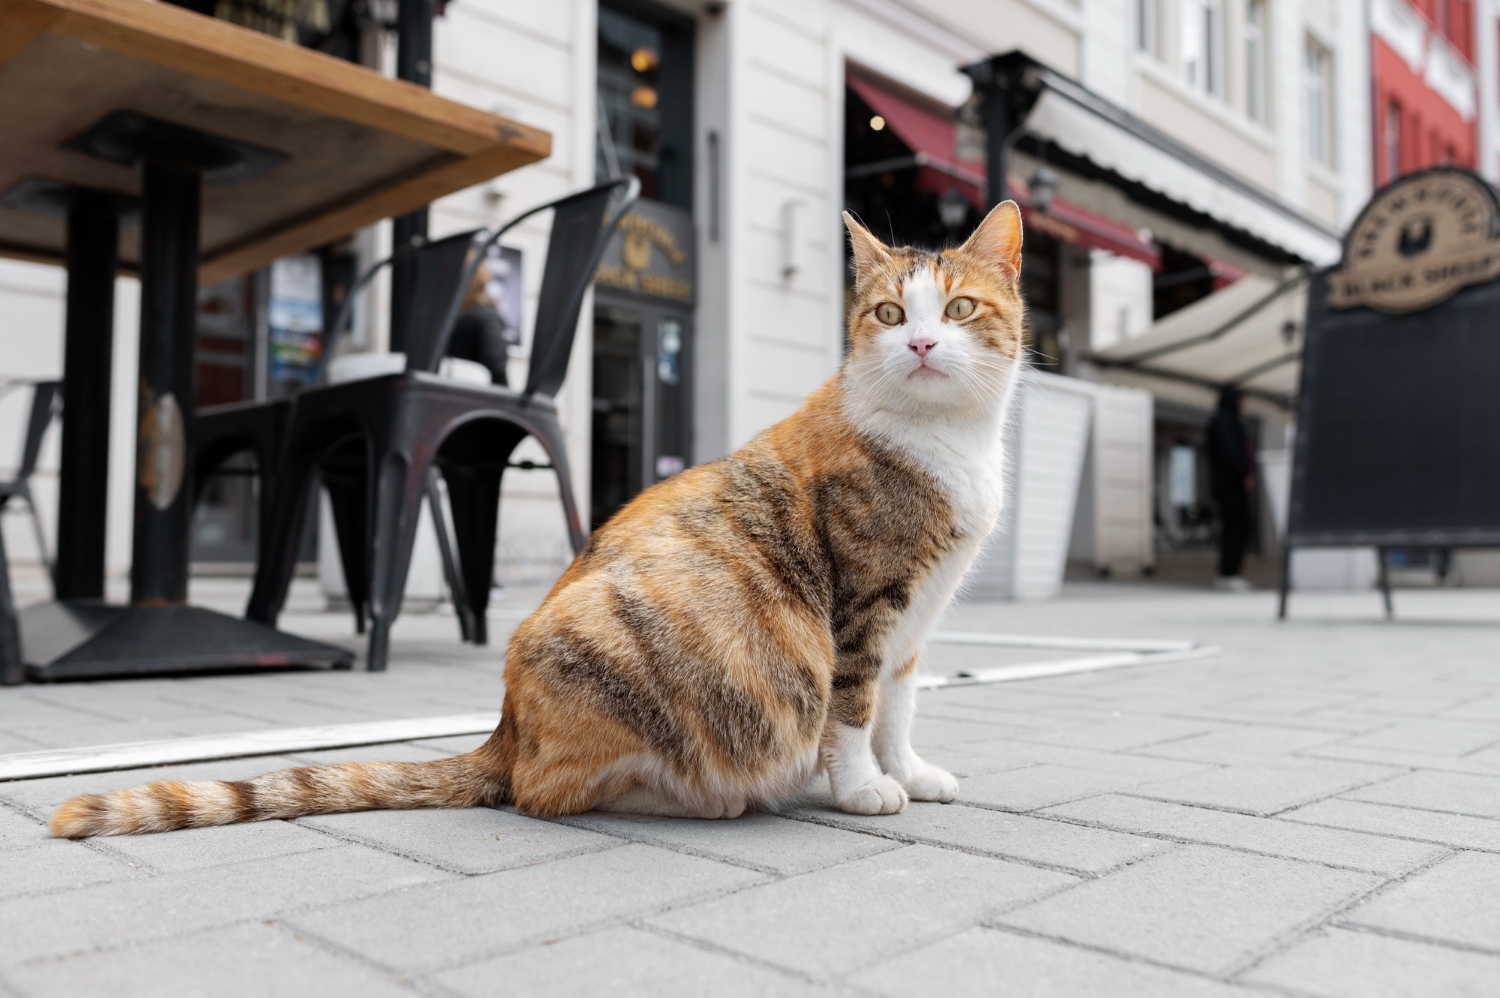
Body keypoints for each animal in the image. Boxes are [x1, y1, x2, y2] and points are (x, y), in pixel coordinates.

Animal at [49, 198, 1032, 834]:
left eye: (959, 308)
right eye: (889, 311)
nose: (921, 342)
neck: (945, 442)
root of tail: (505, 725)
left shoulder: (915, 621)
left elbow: (897, 710)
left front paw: (911, 772)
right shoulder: (863, 610)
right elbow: (850, 711)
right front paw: (862, 787)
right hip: (600, 653)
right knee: (542, 790)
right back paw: (706, 795)